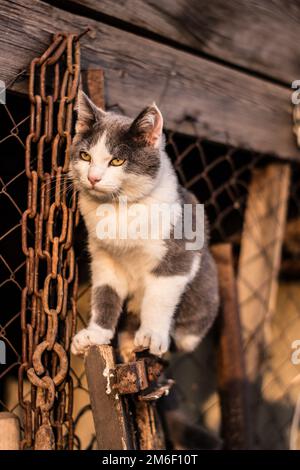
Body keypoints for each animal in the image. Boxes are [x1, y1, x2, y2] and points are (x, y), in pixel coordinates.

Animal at [71, 91, 219, 356]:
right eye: (85, 156)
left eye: (117, 161)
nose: (93, 177)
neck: (119, 209)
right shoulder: (104, 259)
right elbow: (104, 294)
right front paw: (95, 334)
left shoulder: (178, 255)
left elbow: (158, 298)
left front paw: (151, 335)